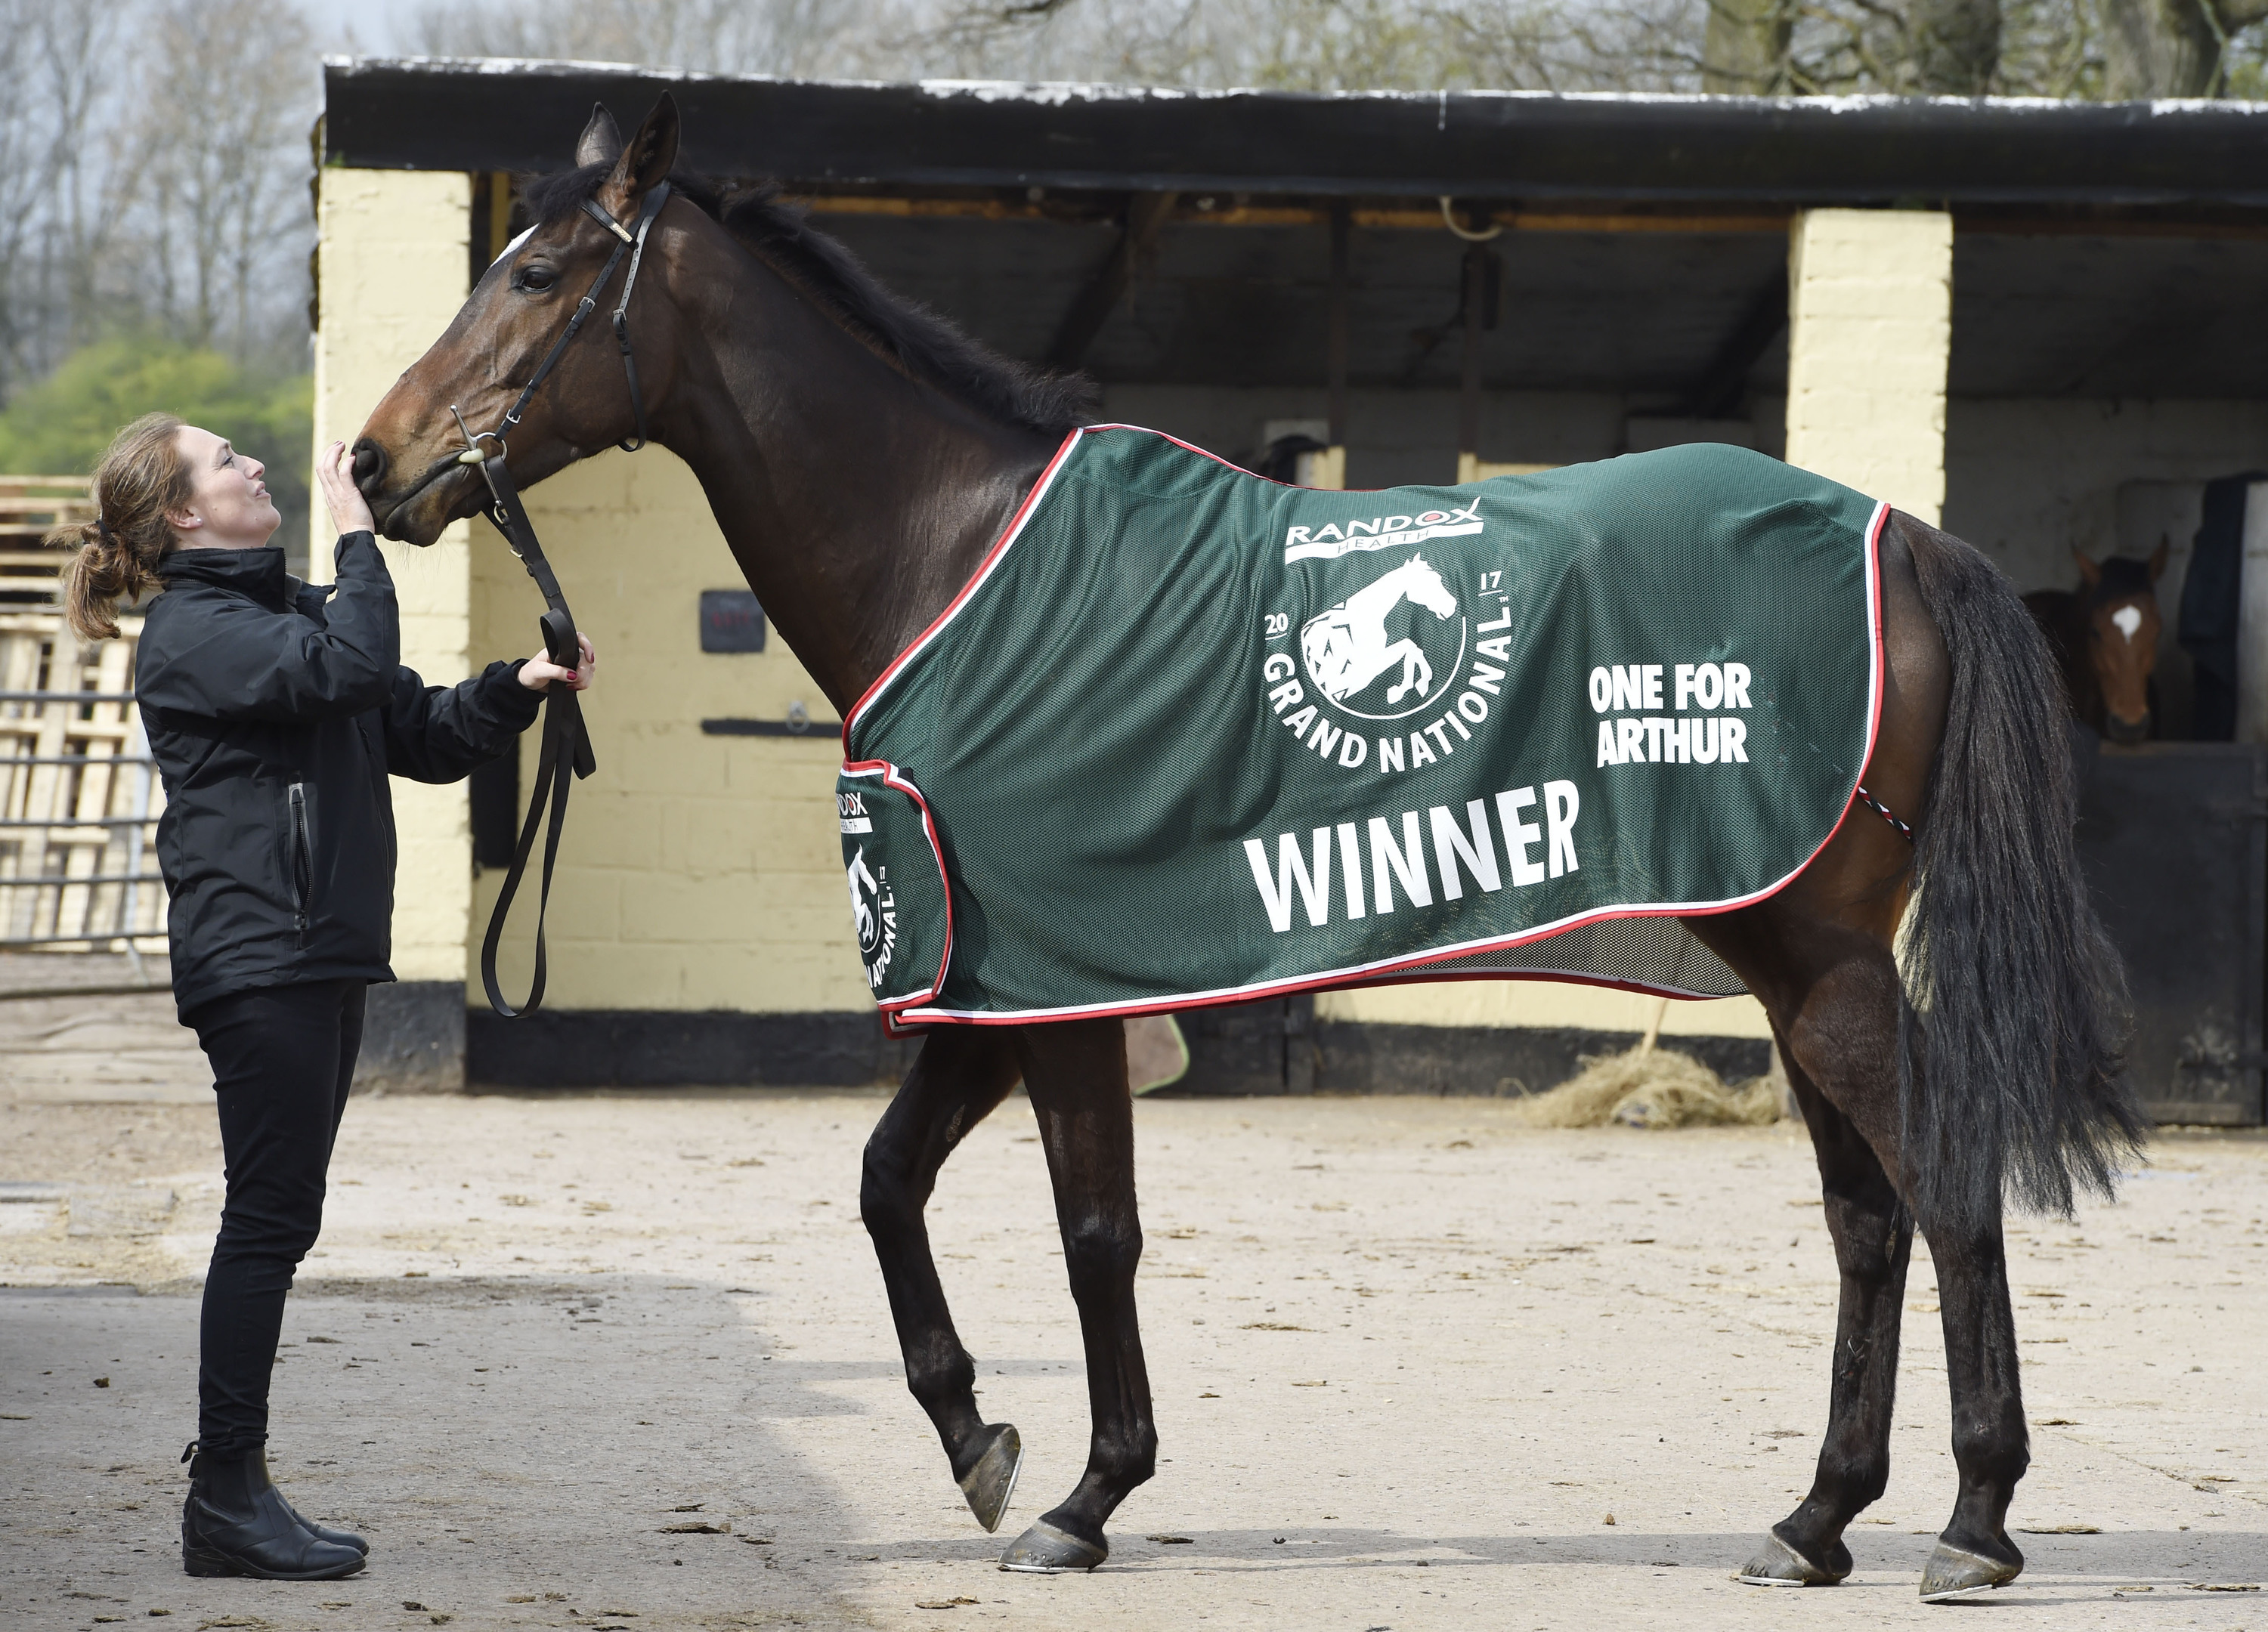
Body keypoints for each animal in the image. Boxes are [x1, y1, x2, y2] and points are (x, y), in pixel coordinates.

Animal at [354, 95, 2140, 1596]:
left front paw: (1085, 1499)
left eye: (534, 270)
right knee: (1868, 1223)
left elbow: (1092, 1237)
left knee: (1942, 1190)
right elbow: (886, 1186)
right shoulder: (995, 983)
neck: (950, 557)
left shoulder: (1057, 996)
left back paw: (1975, 1522)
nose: (375, 462)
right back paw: (1815, 1519)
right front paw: (983, 1443)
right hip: (1787, 953)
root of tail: (1902, 539)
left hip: (1821, 962)